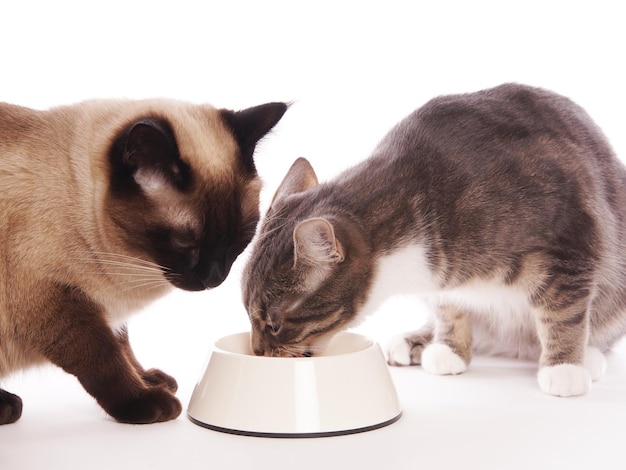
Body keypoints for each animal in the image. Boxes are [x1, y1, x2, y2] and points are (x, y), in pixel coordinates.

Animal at [0, 97, 286, 424]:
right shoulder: (55, 304)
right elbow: (104, 357)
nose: (213, 278)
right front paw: (145, 401)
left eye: (238, 240)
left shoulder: (108, 313)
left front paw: (150, 380)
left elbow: (124, 348)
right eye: (185, 242)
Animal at [243, 83, 624, 396]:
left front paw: (565, 367)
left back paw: (587, 354)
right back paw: (417, 340)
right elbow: (448, 306)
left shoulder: (569, 240)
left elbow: (564, 311)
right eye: (248, 313)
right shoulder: (443, 279)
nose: (257, 350)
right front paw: (450, 348)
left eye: (274, 324)